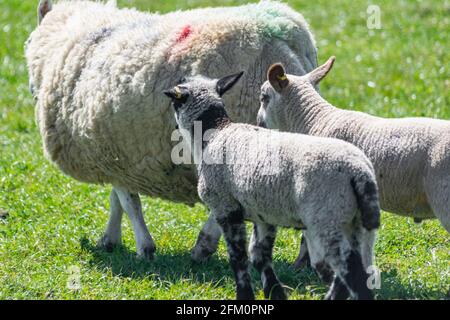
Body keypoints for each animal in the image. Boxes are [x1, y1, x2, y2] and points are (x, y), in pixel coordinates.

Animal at [26, 0, 318, 260]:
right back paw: (304, 258)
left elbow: (128, 202)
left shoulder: (111, 152)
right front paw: (110, 240)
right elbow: (117, 200)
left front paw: (143, 248)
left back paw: (204, 246)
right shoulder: (119, 155)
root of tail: (285, 37)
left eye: (26, 43)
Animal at [163, 71, 382, 298]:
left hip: (328, 218)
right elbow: (259, 256)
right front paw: (274, 293)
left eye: (174, 102)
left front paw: (245, 295)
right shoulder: (263, 214)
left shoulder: (225, 206)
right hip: (353, 221)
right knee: (347, 272)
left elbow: (238, 258)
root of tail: (359, 172)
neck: (215, 132)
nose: (172, 127)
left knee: (351, 271)